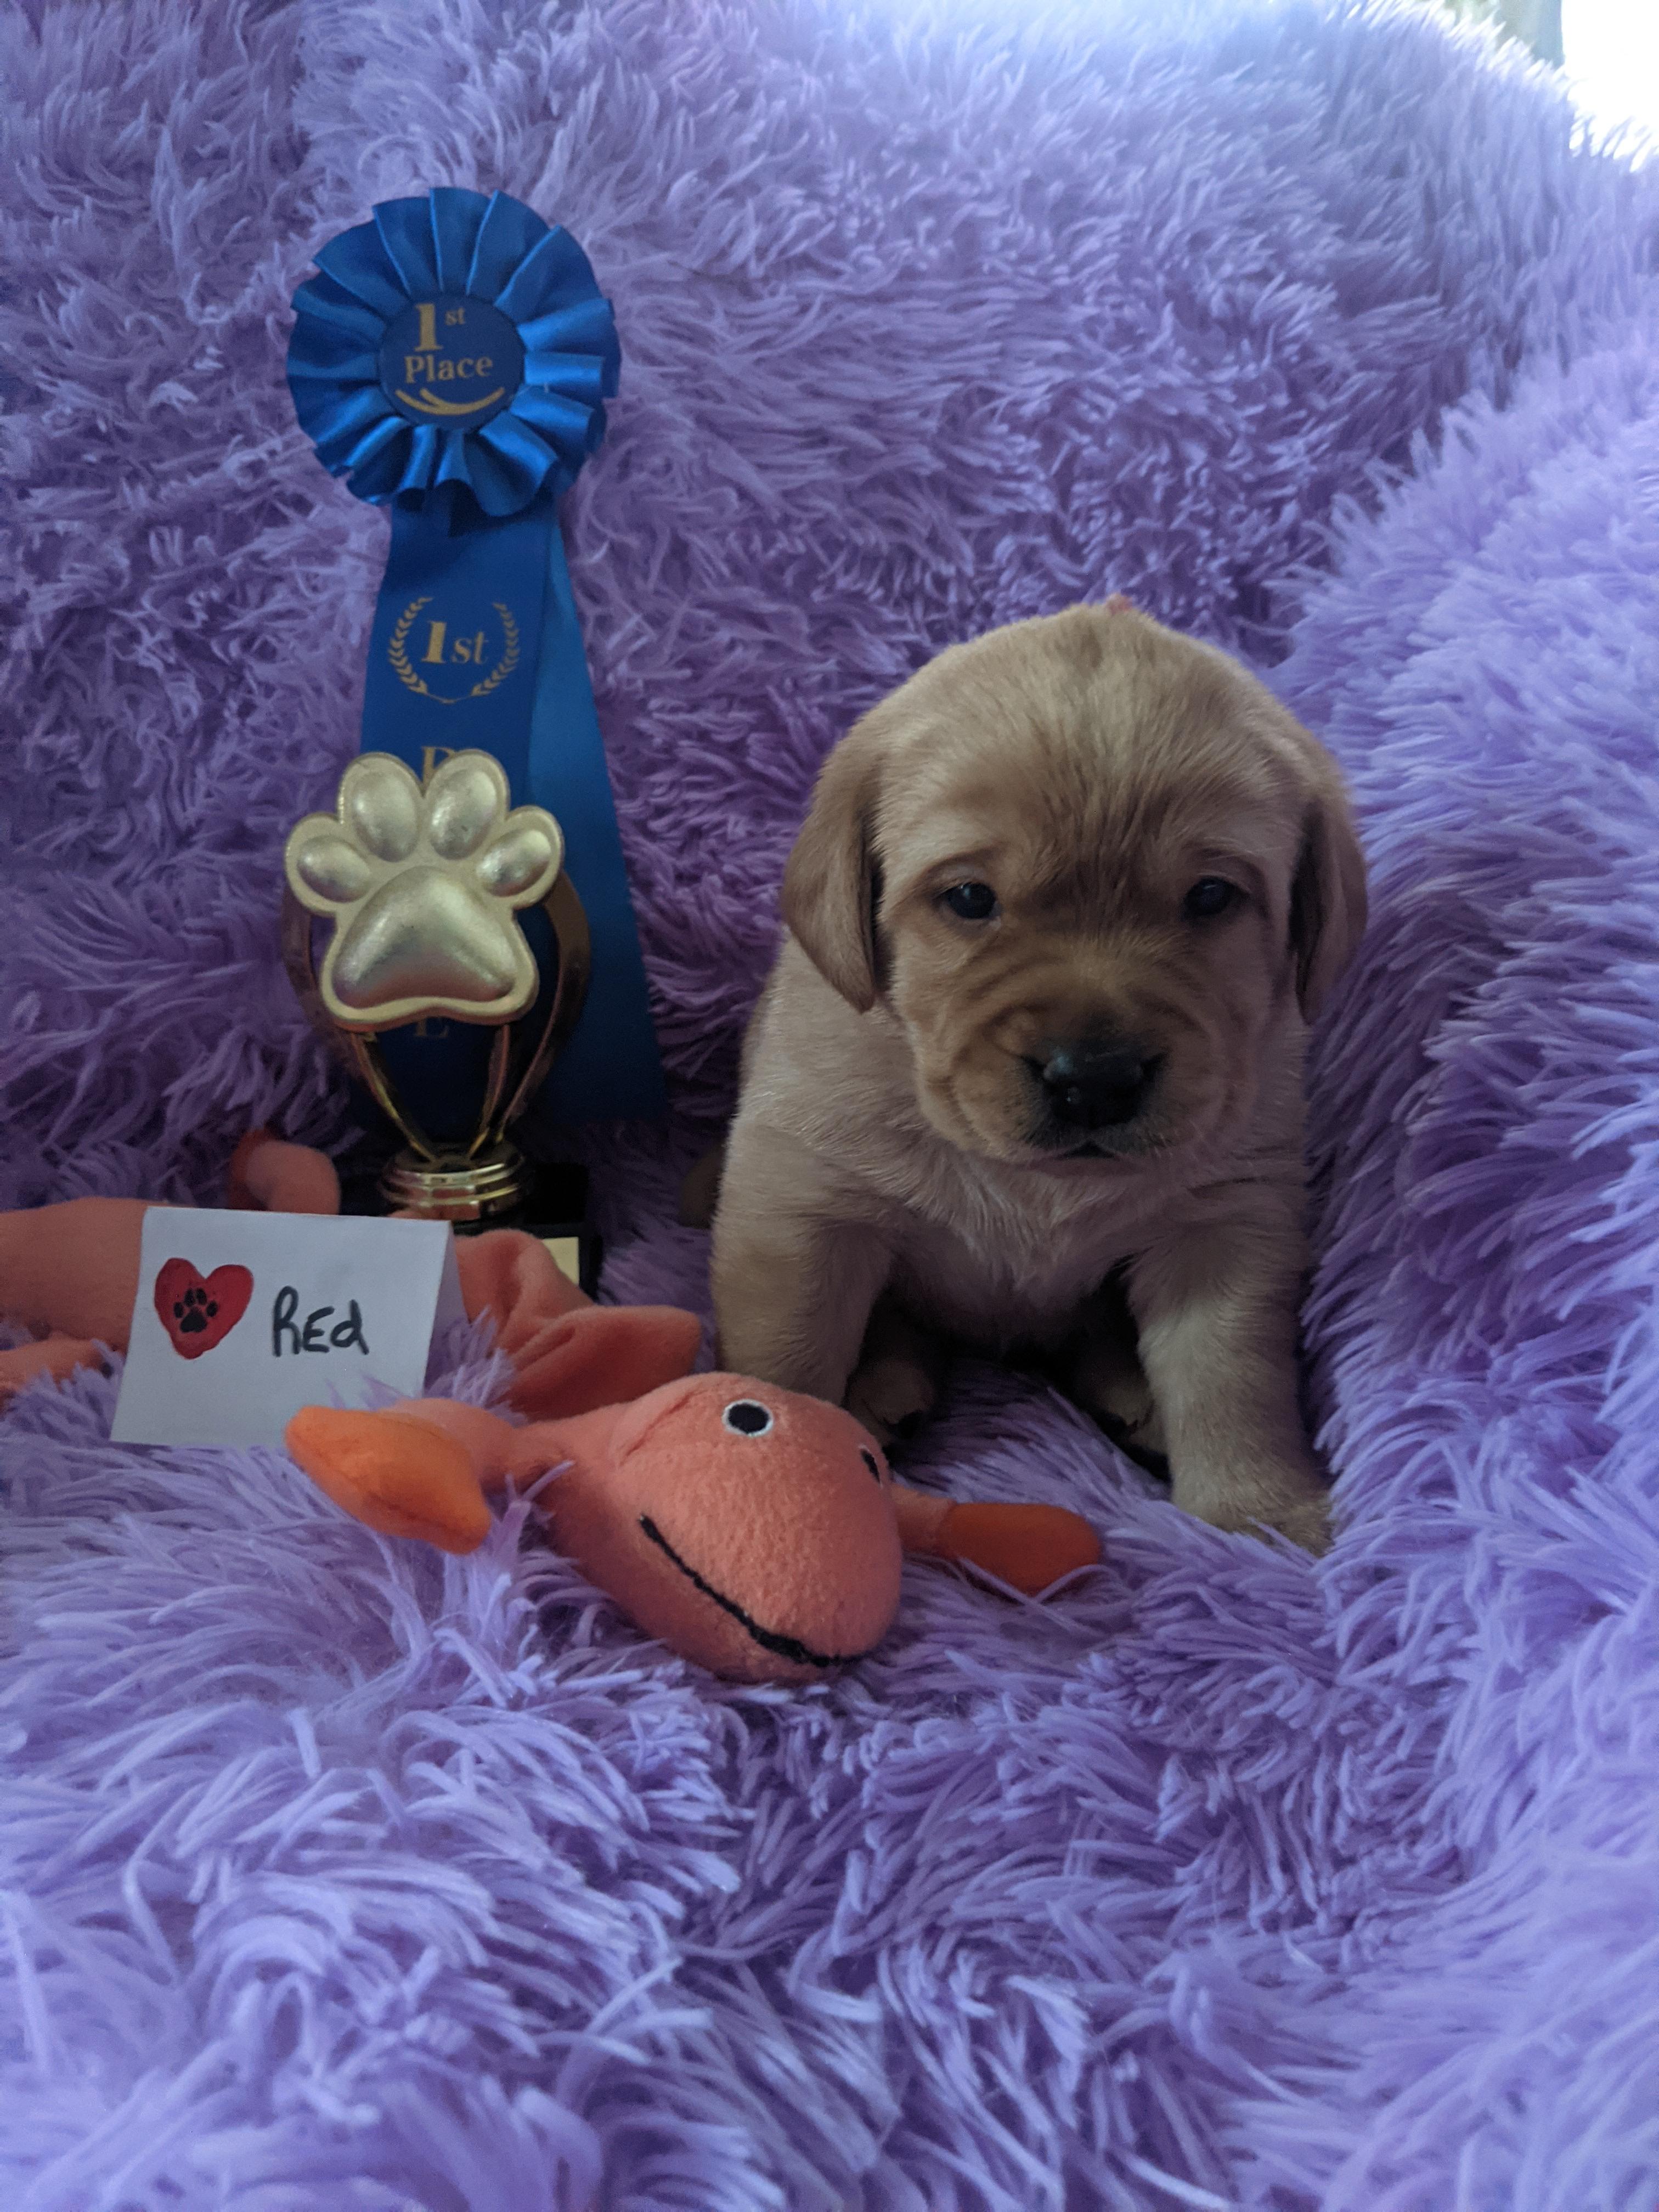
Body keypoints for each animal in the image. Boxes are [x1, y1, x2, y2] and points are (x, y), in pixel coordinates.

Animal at [701, 599, 1366, 1551]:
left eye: (1210, 897)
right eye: (971, 899)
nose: (1095, 1078)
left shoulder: (1229, 1222)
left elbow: (1233, 1375)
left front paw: (1259, 1512)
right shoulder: (798, 1201)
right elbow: (785, 1359)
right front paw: (774, 1485)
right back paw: (888, 1390)